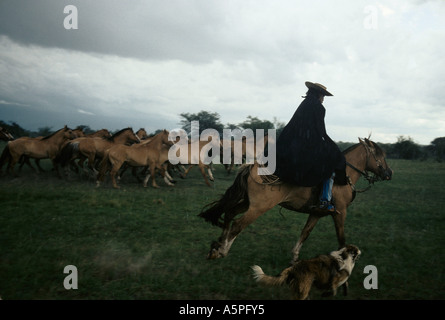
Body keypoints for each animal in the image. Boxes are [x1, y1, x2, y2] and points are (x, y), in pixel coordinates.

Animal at [199, 138, 390, 262]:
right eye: (380, 156)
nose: (389, 173)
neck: (343, 176)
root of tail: (252, 166)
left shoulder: (316, 213)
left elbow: (305, 233)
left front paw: (295, 257)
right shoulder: (340, 213)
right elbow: (341, 239)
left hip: (247, 203)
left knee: (229, 213)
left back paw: (217, 245)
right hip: (258, 207)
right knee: (238, 224)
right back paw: (223, 250)